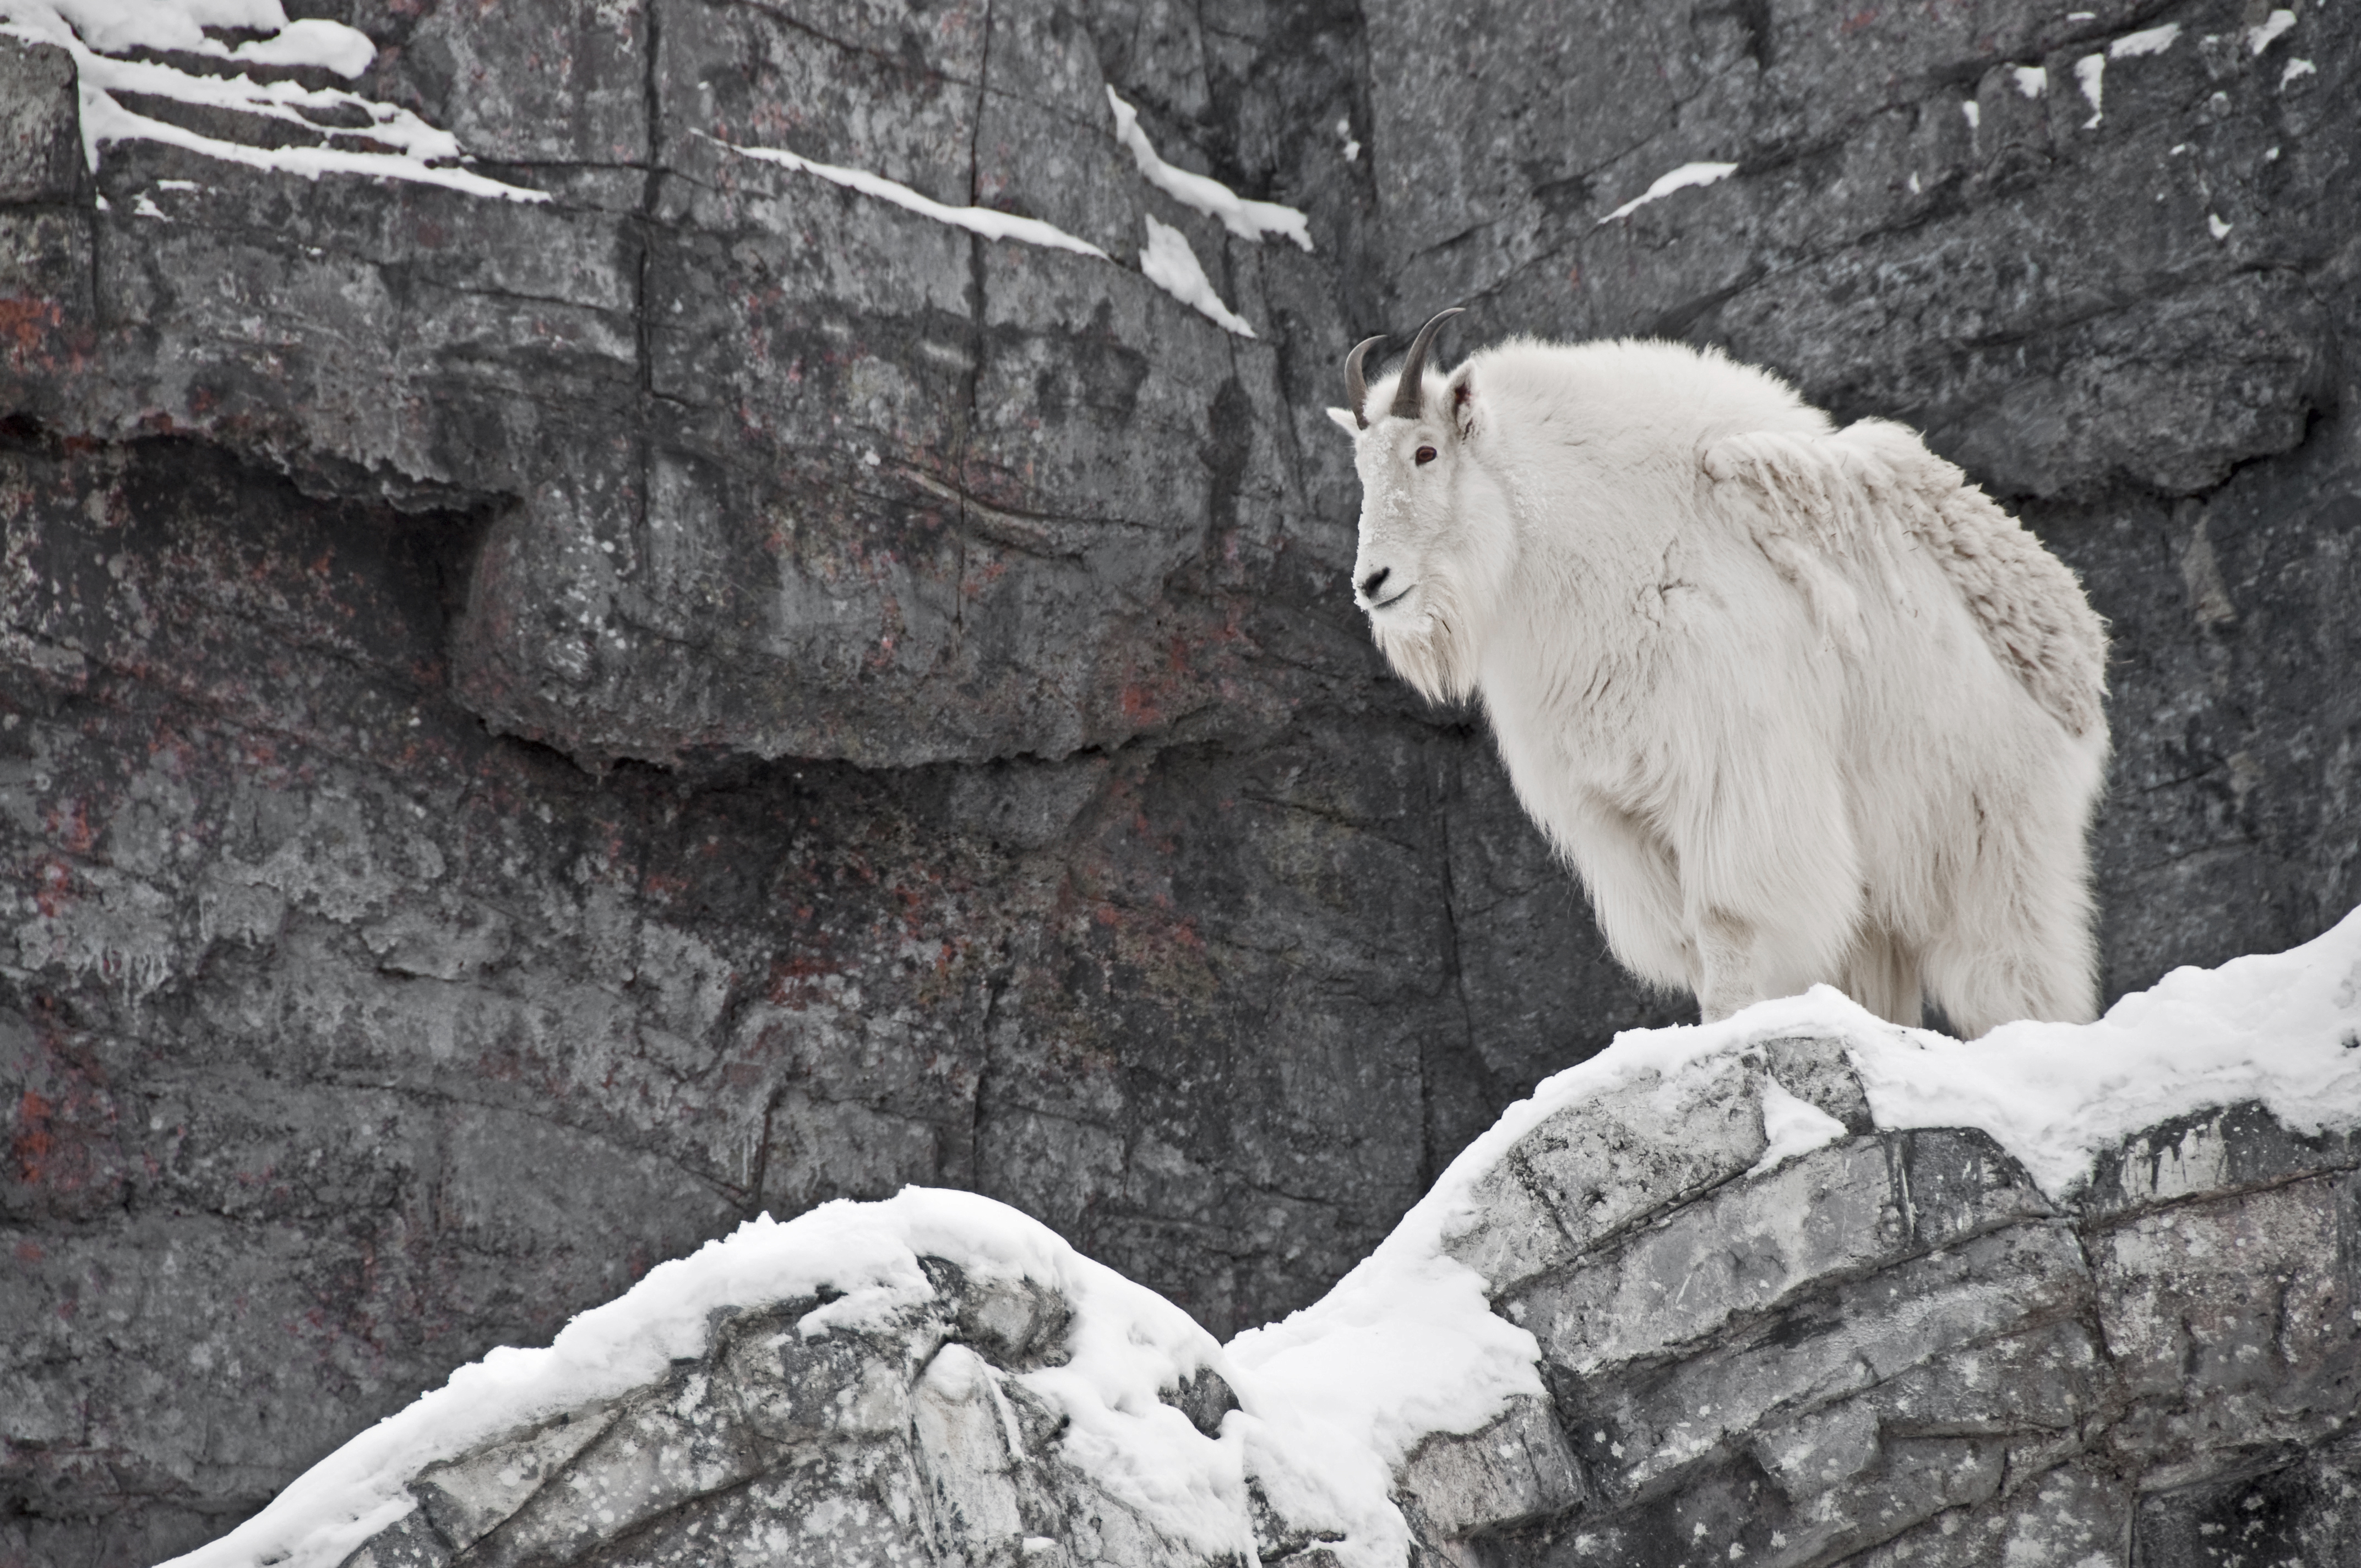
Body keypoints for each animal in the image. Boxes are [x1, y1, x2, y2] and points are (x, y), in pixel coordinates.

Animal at [1331, 312, 2125, 1034]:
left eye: (1426, 451)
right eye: (1362, 468)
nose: (1373, 583)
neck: (1594, 545)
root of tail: (2079, 654)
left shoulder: (1733, 774)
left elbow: (1728, 922)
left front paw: (1725, 1031)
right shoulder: (1620, 816)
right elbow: (1690, 940)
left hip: (1993, 834)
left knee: (2012, 968)